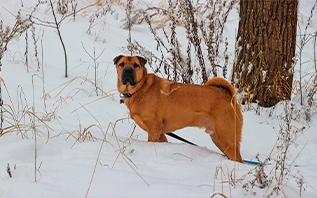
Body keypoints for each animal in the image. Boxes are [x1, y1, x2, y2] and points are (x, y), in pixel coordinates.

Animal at [115, 54, 243, 162]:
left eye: (136, 65)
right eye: (122, 64)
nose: (127, 70)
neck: (140, 89)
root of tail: (229, 96)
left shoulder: (154, 128)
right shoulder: (160, 133)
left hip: (227, 139)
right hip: (218, 138)